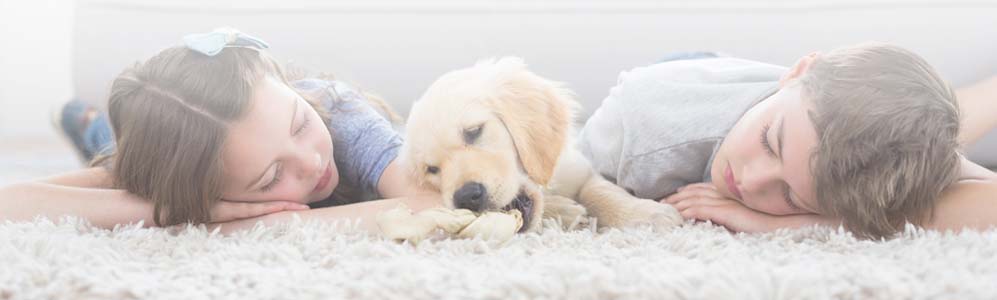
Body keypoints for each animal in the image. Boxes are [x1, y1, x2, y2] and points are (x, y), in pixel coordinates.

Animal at [400, 58, 680, 232]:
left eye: (474, 132)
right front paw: (565, 211)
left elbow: (602, 192)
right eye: (431, 169)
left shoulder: (579, 169)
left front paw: (646, 214)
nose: (466, 196)